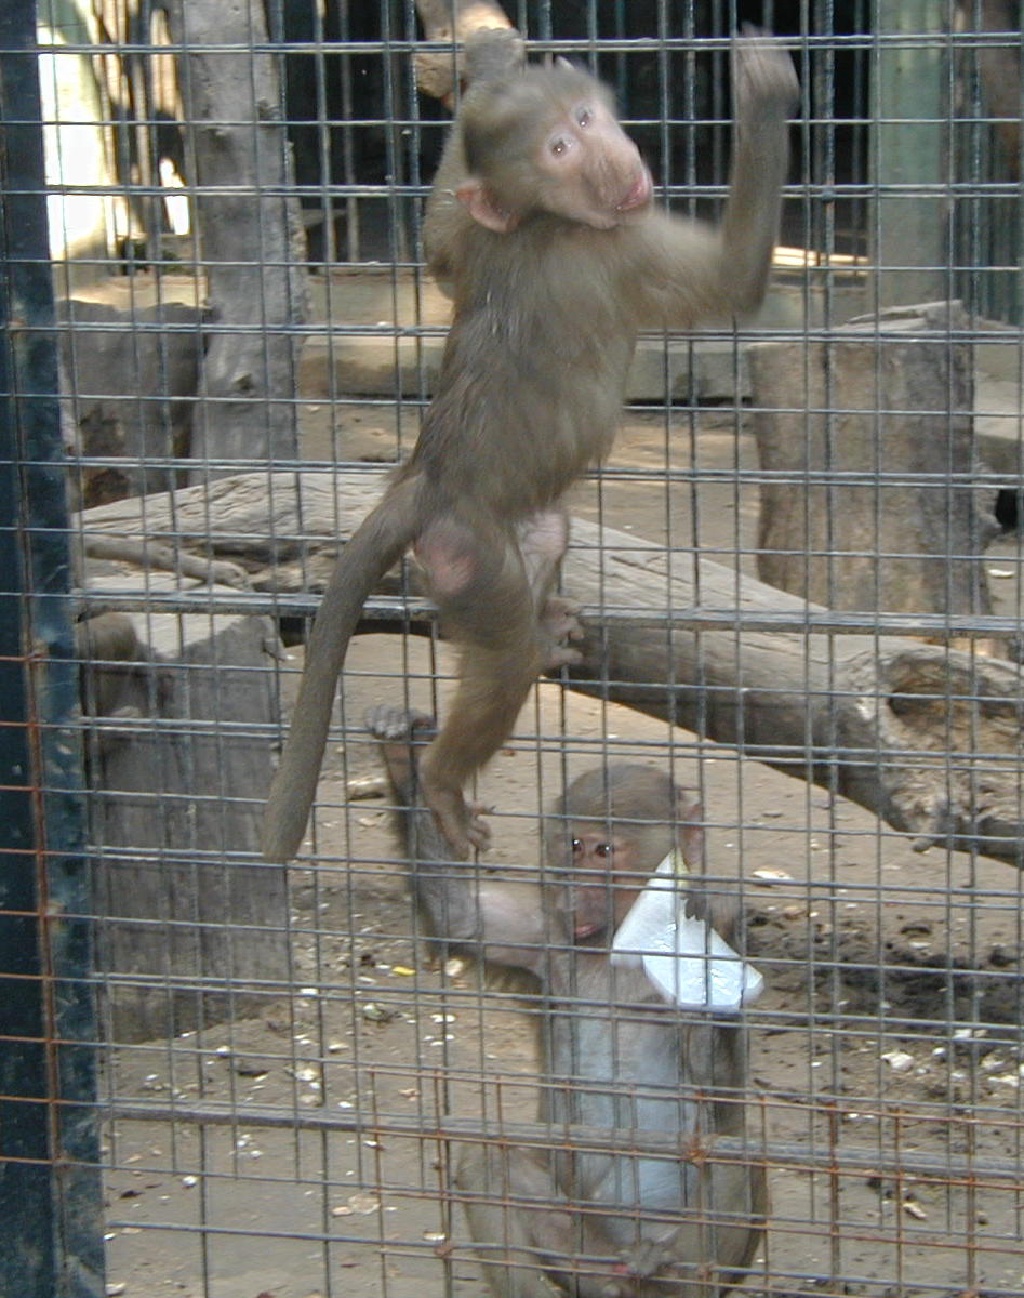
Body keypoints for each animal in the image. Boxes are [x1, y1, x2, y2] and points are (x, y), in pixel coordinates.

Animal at [262, 32, 798, 864]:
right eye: (559, 149)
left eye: (582, 117)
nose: (612, 159)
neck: (544, 218)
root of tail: (425, 480)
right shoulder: (619, 244)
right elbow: (737, 279)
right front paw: (763, 93)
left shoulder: (481, 236)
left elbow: (438, 248)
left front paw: (488, 57)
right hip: (464, 553)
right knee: (501, 655)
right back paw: (440, 778)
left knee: (548, 537)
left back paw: (544, 628)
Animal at [367, 704, 766, 1298]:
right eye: (574, 846)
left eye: (605, 851)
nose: (576, 887)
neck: (616, 942)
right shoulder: (548, 927)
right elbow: (462, 917)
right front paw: (403, 753)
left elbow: (719, 1096)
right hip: (581, 1251)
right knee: (491, 1161)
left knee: (738, 1156)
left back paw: (664, 1264)